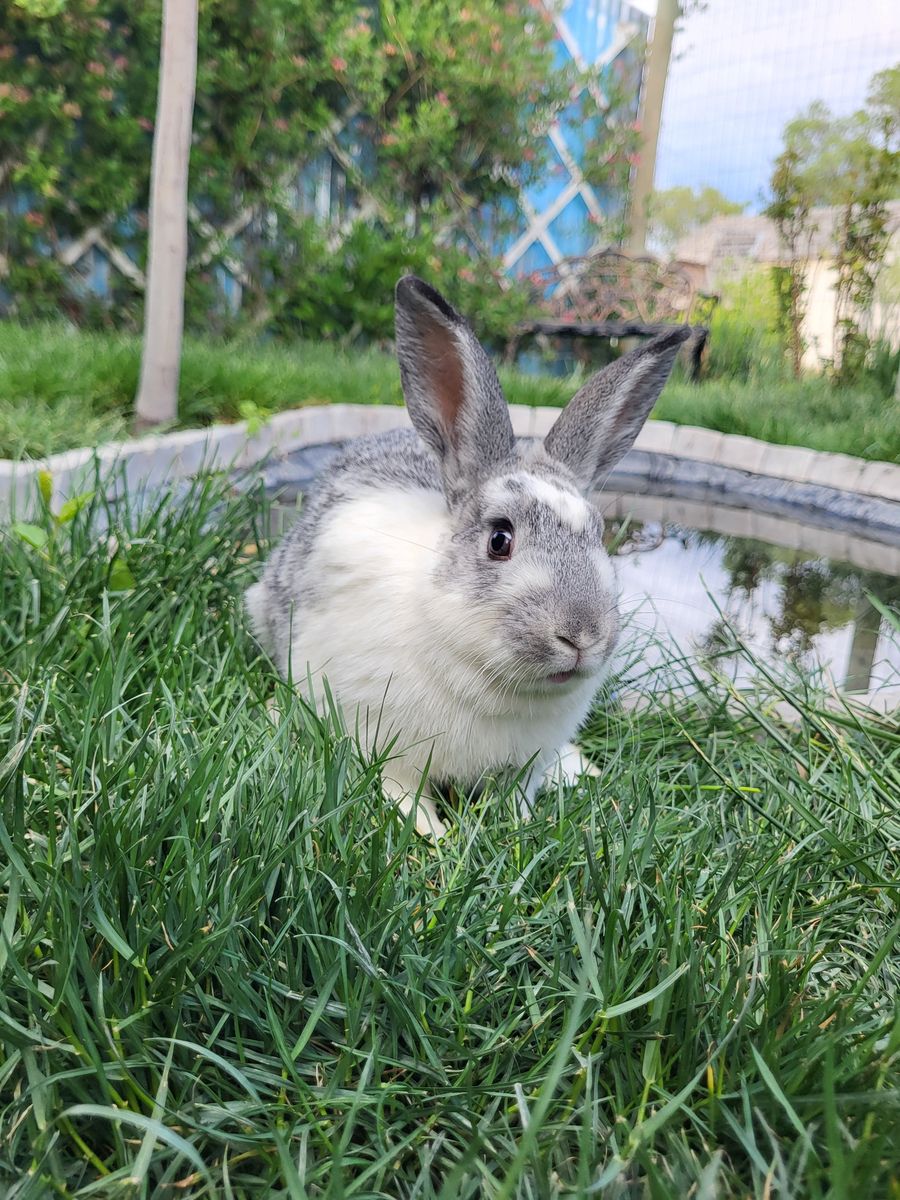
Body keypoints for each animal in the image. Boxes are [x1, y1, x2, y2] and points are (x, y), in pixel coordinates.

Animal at [246, 275, 688, 837]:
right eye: (500, 539)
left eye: (599, 534)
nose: (582, 636)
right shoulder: (384, 741)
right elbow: (400, 789)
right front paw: (431, 831)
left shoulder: (525, 763)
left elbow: (517, 795)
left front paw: (520, 822)